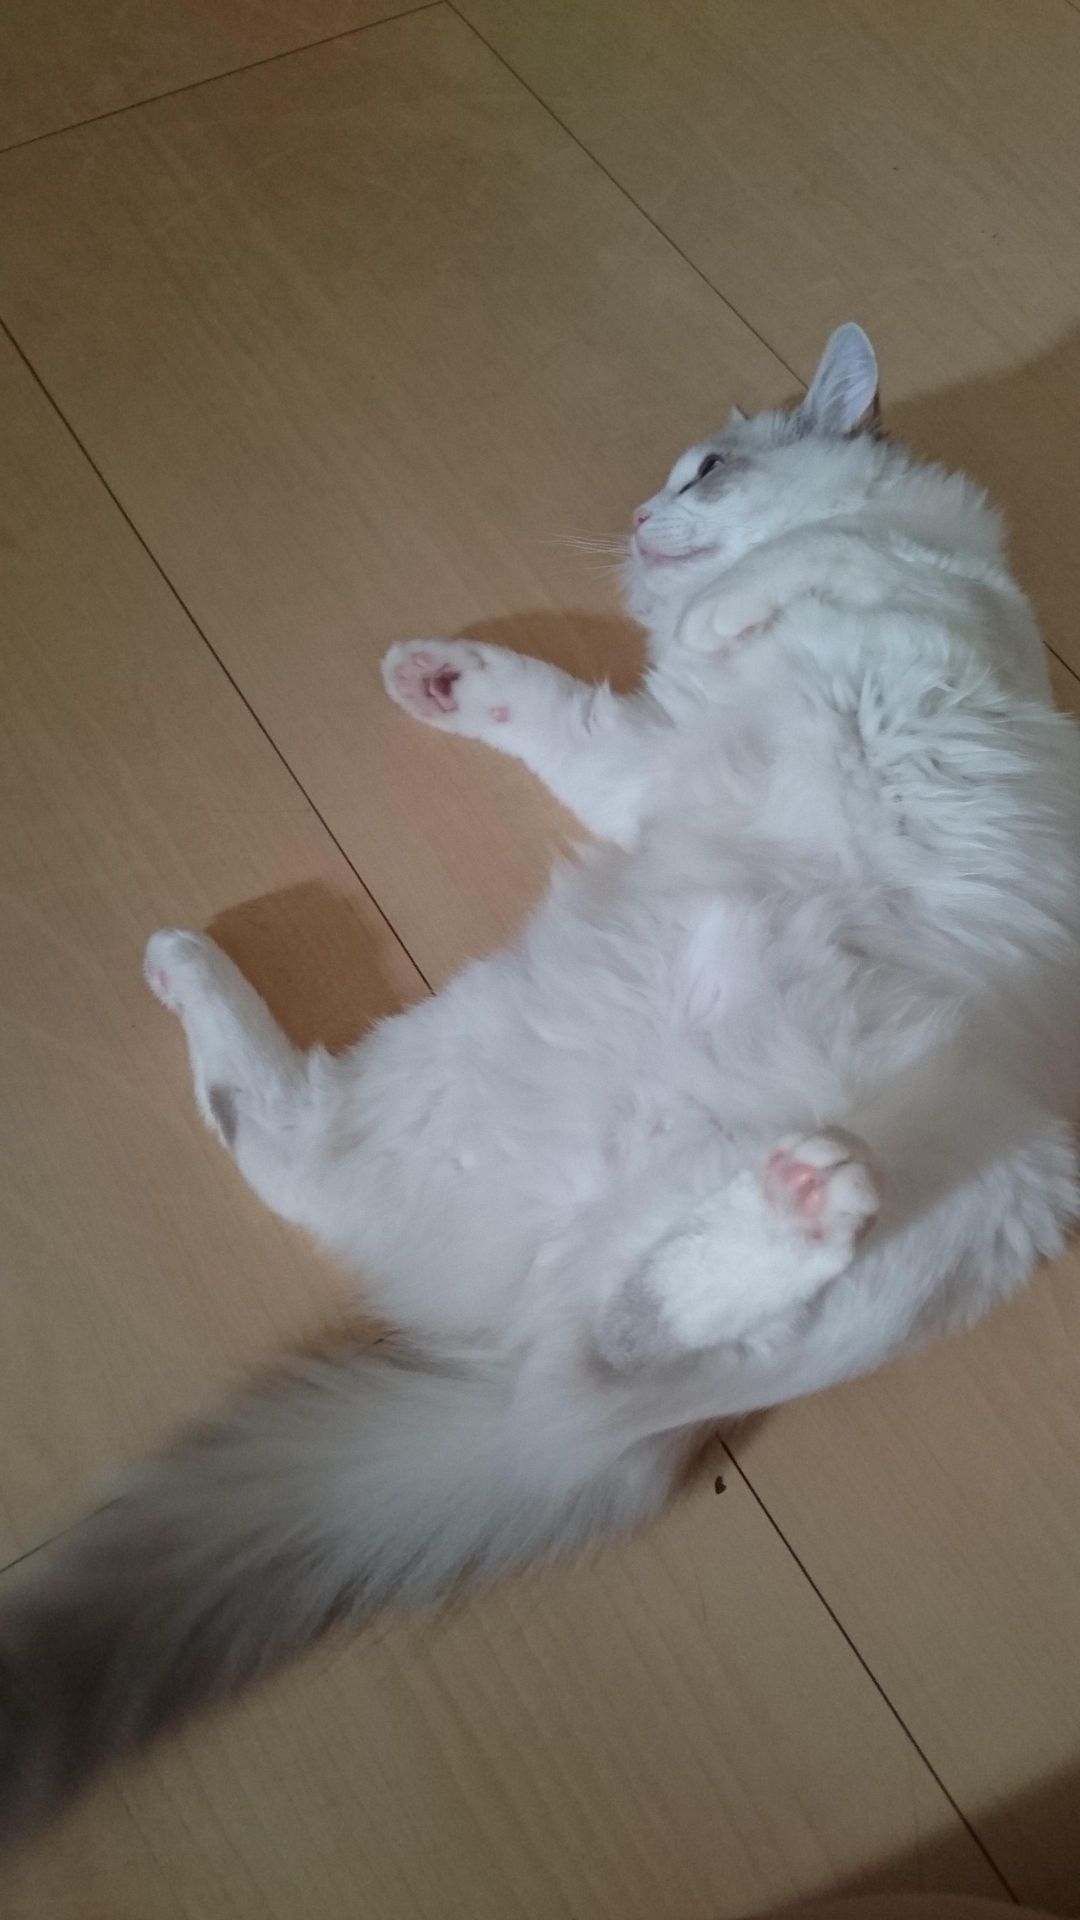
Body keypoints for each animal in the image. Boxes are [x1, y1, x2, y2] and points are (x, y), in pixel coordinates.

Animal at [3, 324, 1080, 1841]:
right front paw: (444, 677)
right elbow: (567, 707)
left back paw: (802, 1197)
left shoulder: (925, 608)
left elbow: (784, 573)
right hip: (493, 1109)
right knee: (510, 1285)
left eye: (706, 468)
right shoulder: (647, 754)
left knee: (575, 1330)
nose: (638, 519)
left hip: (970, 1185)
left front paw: (724, 594)